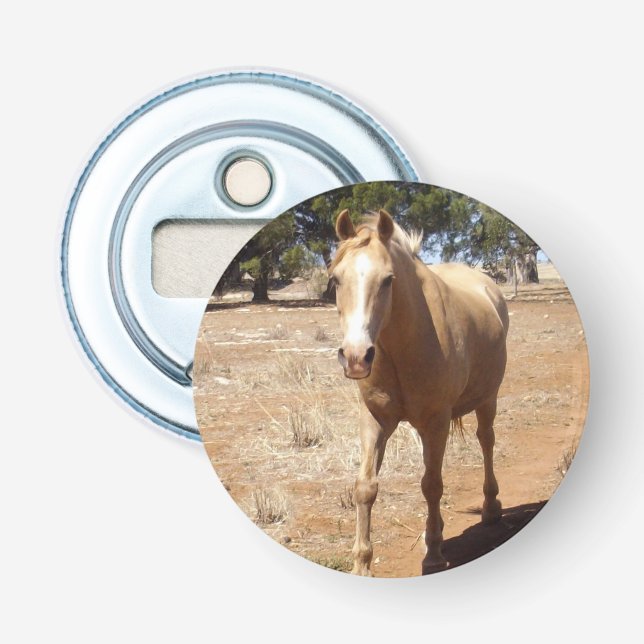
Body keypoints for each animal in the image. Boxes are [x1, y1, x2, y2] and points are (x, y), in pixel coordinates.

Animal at [330, 209, 510, 575]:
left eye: (388, 280)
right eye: (337, 279)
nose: (356, 357)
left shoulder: (436, 421)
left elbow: (432, 485)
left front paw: (434, 556)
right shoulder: (374, 420)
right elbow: (365, 487)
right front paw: (361, 564)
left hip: (487, 400)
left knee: (486, 441)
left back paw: (490, 508)